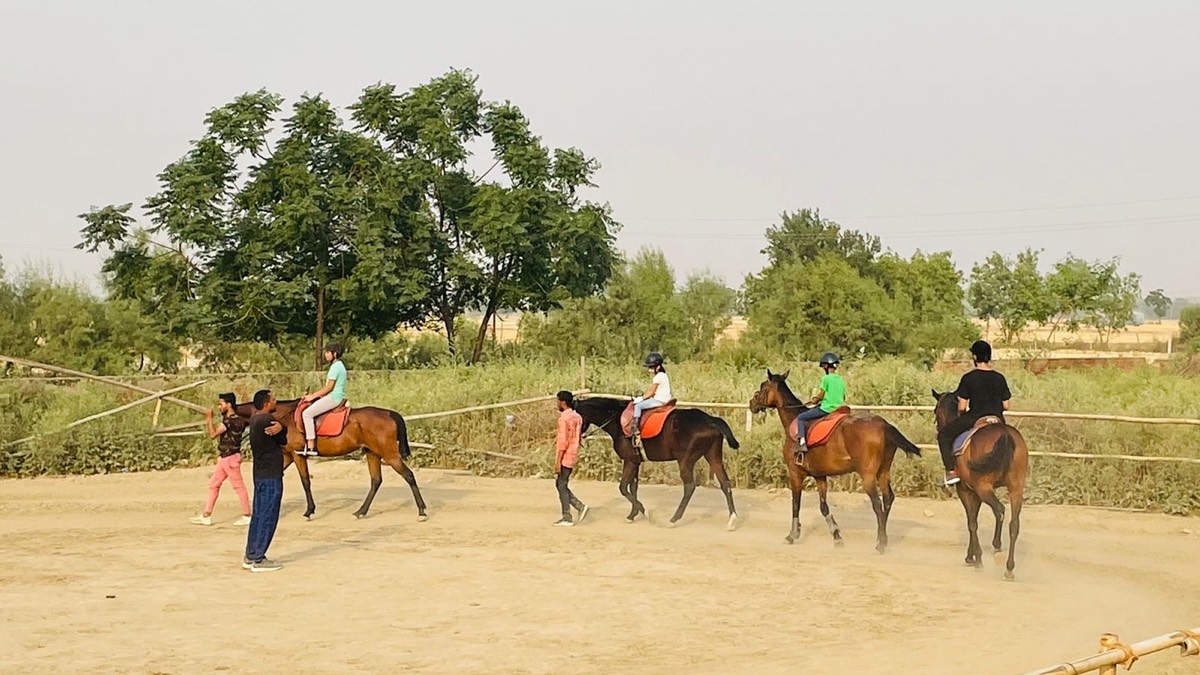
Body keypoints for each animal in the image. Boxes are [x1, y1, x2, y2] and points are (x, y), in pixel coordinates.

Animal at [234, 398, 427, 521]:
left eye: (230, 420)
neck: (285, 419)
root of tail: (388, 413)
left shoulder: (297, 455)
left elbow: (305, 481)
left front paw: (309, 511)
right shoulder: (288, 455)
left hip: (389, 454)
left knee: (408, 475)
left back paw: (422, 511)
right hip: (373, 453)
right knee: (376, 481)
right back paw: (361, 511)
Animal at [573, 391, 739, 528]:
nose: (578, 437)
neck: (617, 420)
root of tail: (710, 420)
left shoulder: (629, 461)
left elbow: (623, 487)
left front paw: (645, 513)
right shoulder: (635, 461)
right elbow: (633, 487)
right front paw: (632, 514)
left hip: (686, 461)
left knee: (689, 487)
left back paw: (674, 519)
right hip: (713, 456)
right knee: (725, 483)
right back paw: (732, 519)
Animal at [744, 369, 921, 550]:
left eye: (763, 386)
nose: (752, 403)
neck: (793, 420)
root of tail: (884, 424)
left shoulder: (795, 474)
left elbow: (796, 505)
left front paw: (792, 535)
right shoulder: (820, 476)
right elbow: (823, 507)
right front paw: (836, 535)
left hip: (868, 476)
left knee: (877, 504)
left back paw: (880, 544)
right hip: (883, 472)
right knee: (888, 499)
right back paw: (882, 539)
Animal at [931, 389, 1027, 578]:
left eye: (936, 410)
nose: (938, 427)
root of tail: (1005, 434)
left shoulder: (966, 490)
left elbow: (972, 522)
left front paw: (976, 558)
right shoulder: (975, 492)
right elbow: (974, 519)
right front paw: (973, 556)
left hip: (984, 488)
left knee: (999, 510)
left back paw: (996, 548)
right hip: (1015, 489)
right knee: (1014, 524)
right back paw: (1009, 568)